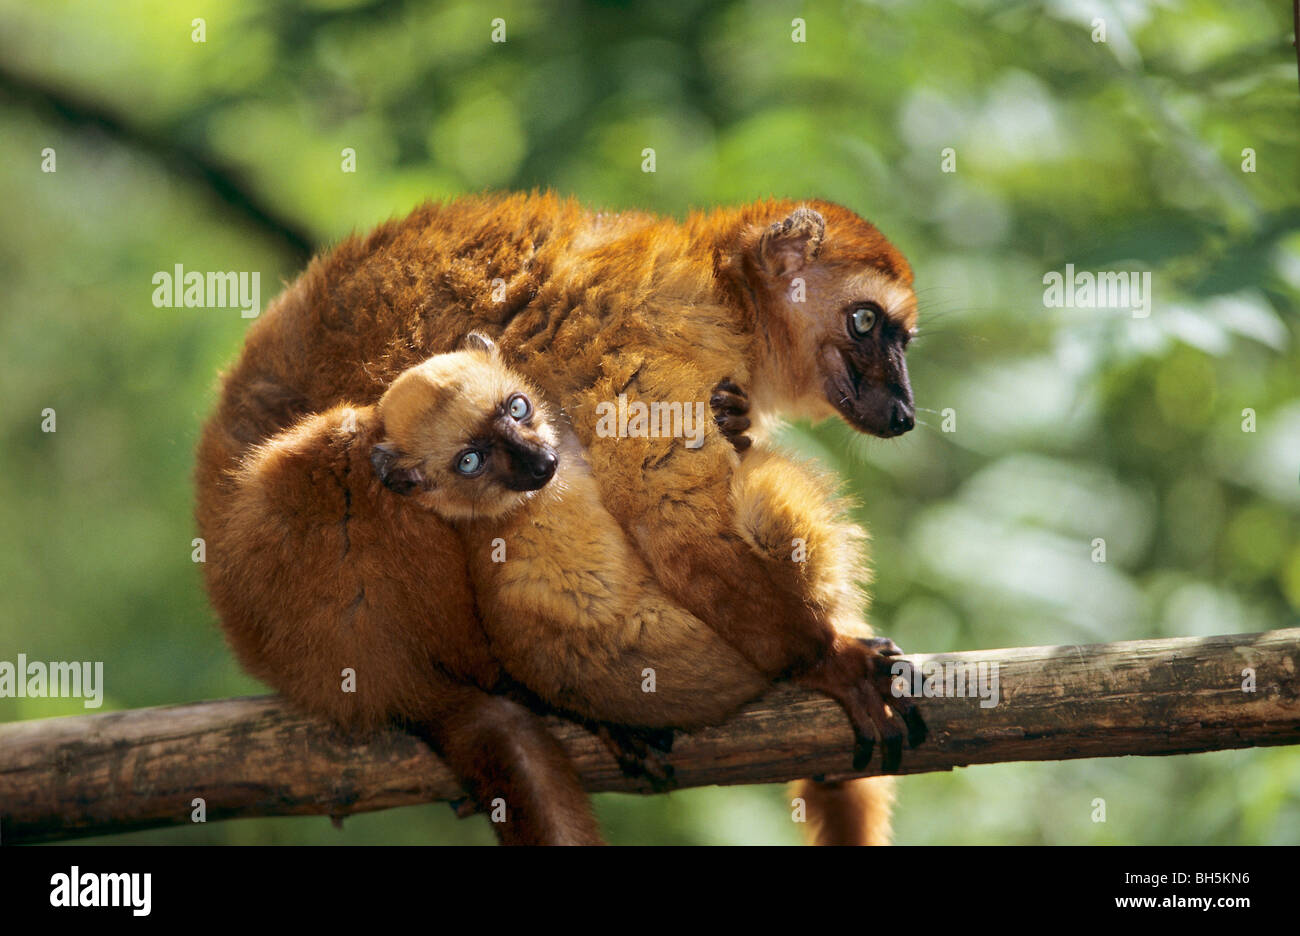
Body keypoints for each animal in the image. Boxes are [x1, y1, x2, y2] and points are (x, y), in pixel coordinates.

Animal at [196, 192, 923, 844]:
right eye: (865, 322)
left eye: (902, 340)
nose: (905, 411)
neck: (730, 300)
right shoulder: (659, 336)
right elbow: (680, 533)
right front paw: (828, 661)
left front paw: (738, 423)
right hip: (329, 622)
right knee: (356, 443)